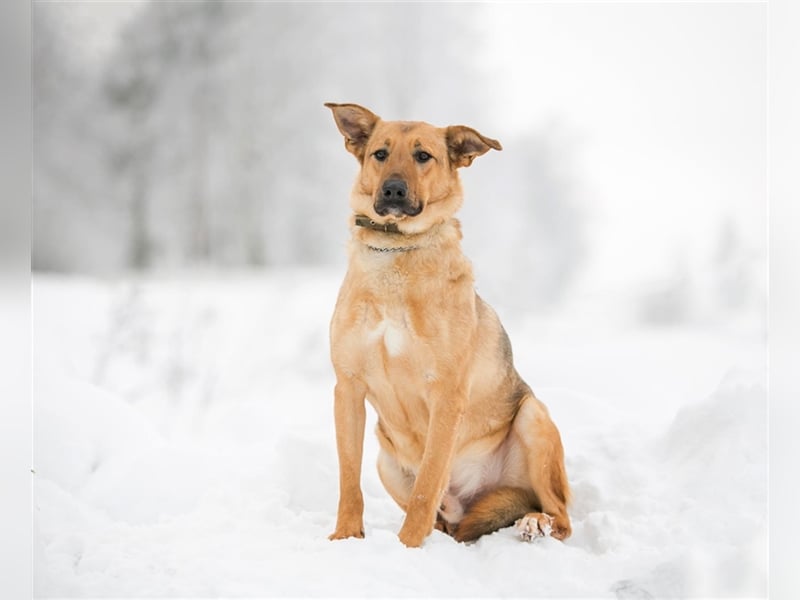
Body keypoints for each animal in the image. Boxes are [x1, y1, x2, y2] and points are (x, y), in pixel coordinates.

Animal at [322, 103, 572, 548]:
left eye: (424, 156)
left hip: (533, 416)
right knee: (445, 520)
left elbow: (427, 485)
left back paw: (533, 523)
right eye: (380, 154)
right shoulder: (347, 388)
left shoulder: (447, 394)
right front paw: (346, 538)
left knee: (560, 515)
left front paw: (407, 547)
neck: (397, 252)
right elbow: (349, 481)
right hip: (386, 460)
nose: (393, 190)